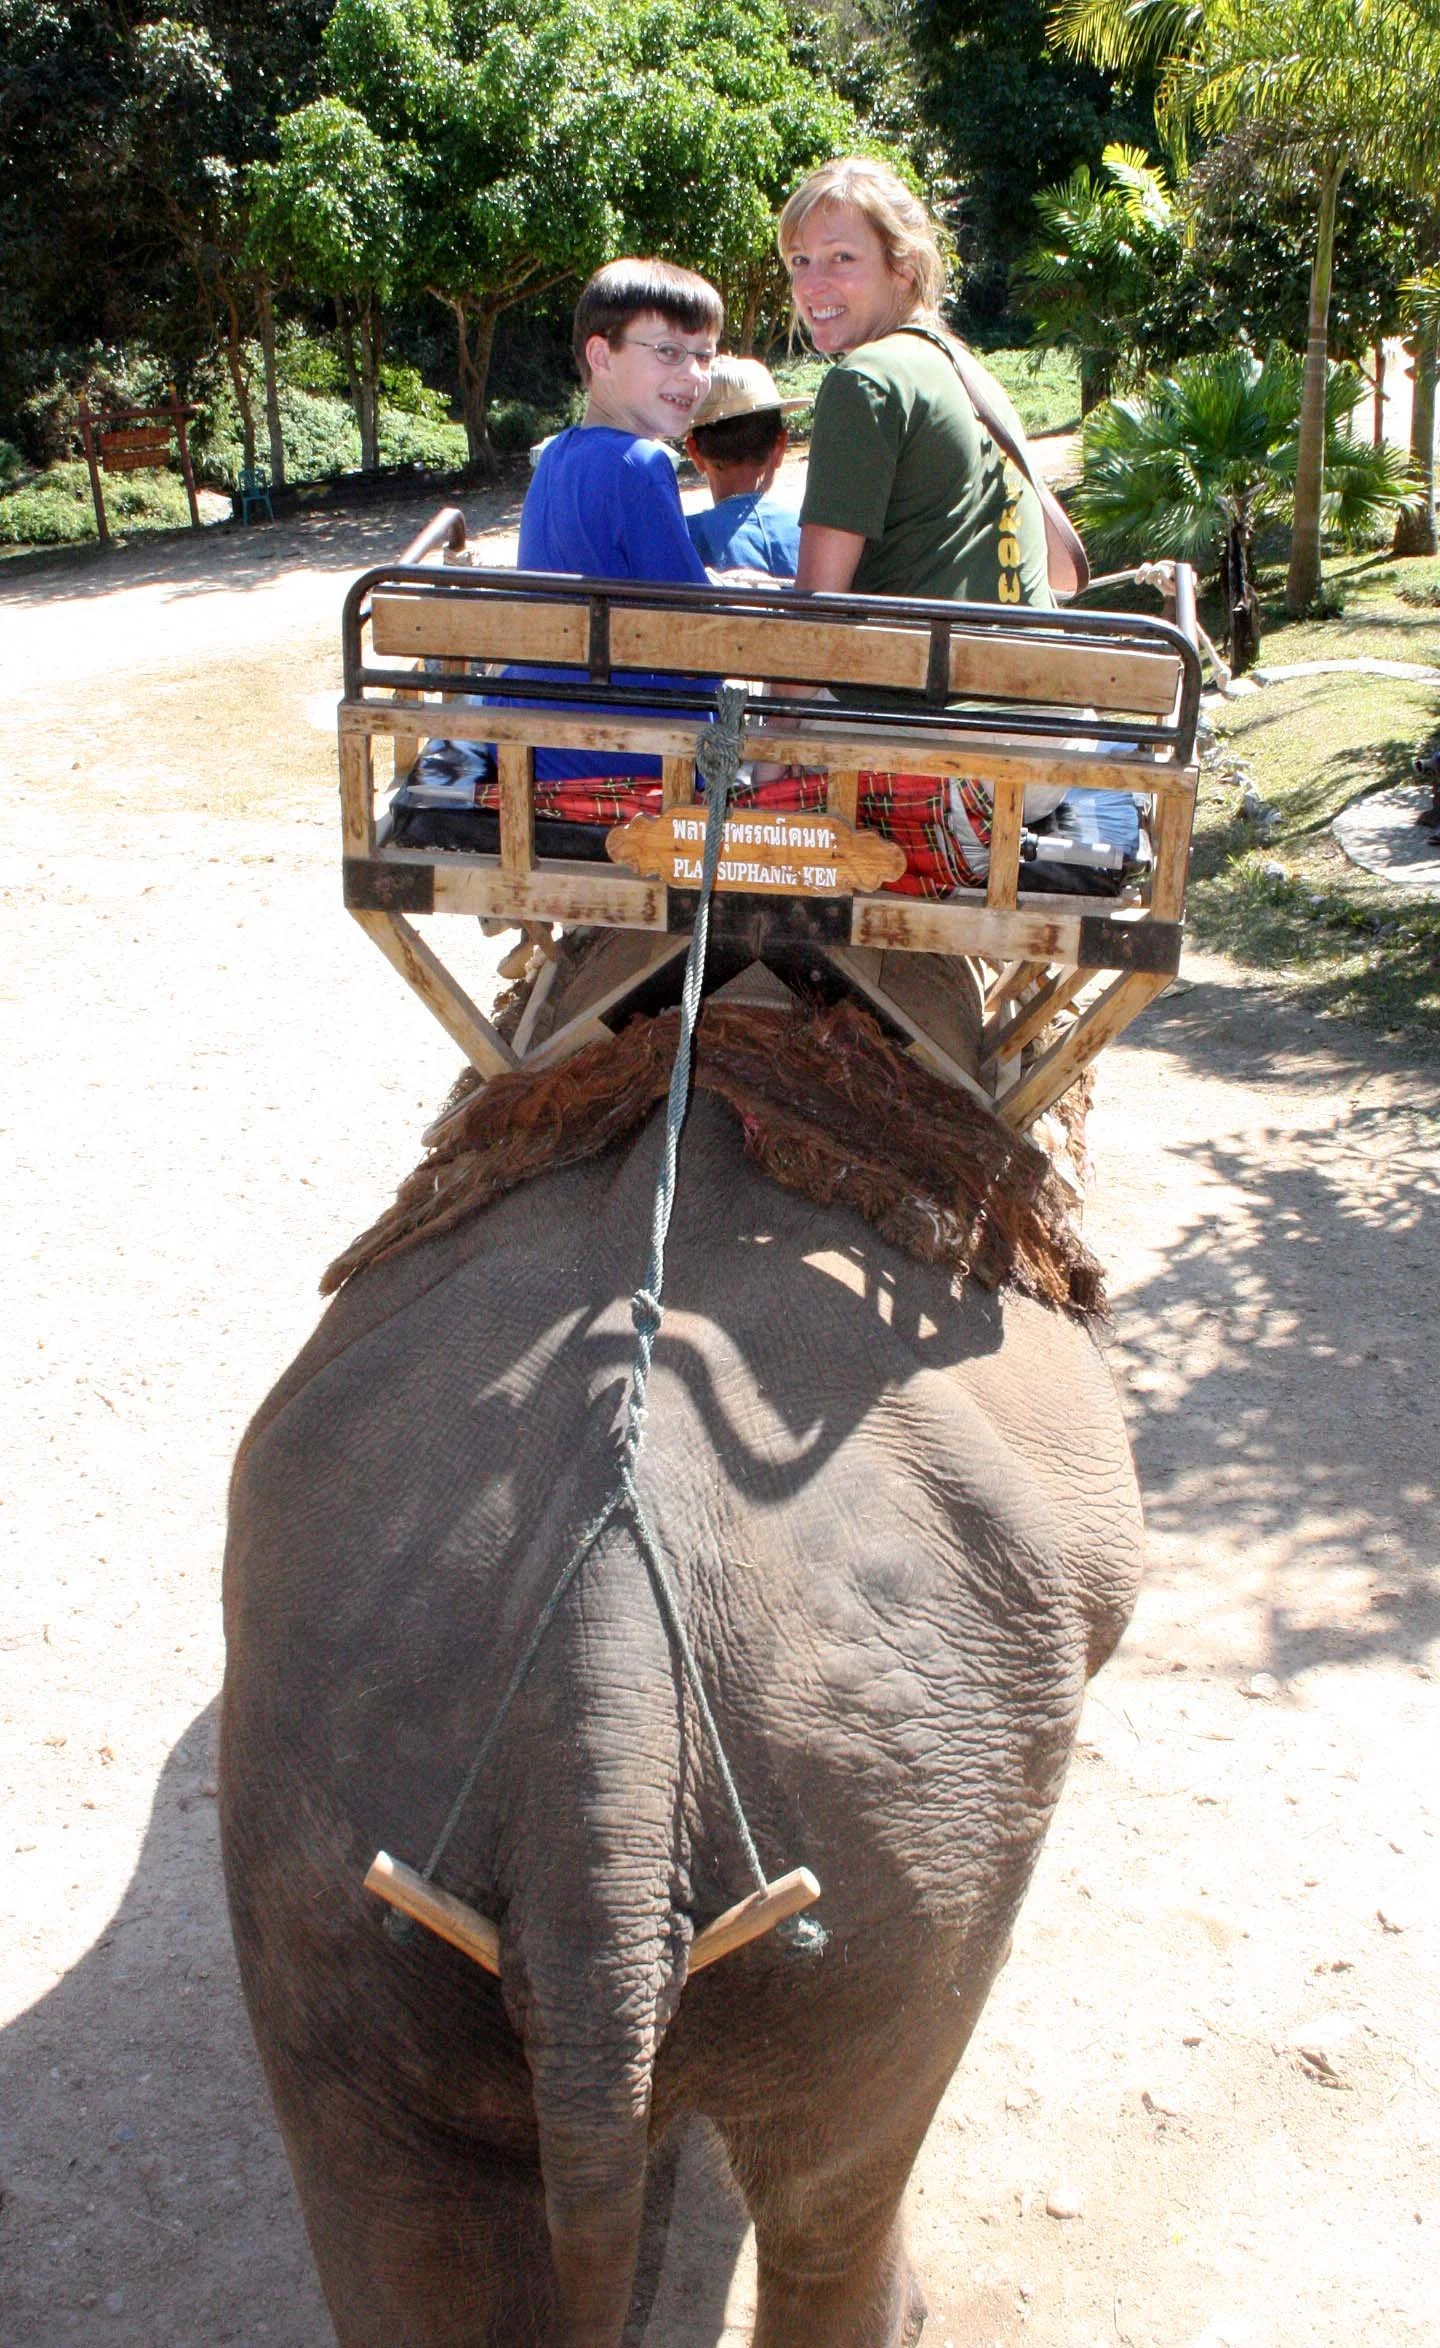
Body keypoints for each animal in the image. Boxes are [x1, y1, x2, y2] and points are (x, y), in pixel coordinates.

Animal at [220, 1027, 1143, 2348]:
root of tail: (605, 1658)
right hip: (917, 1833)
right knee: (835, 2187)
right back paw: (903, 2305)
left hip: (323, 1826)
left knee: (395, 2225)